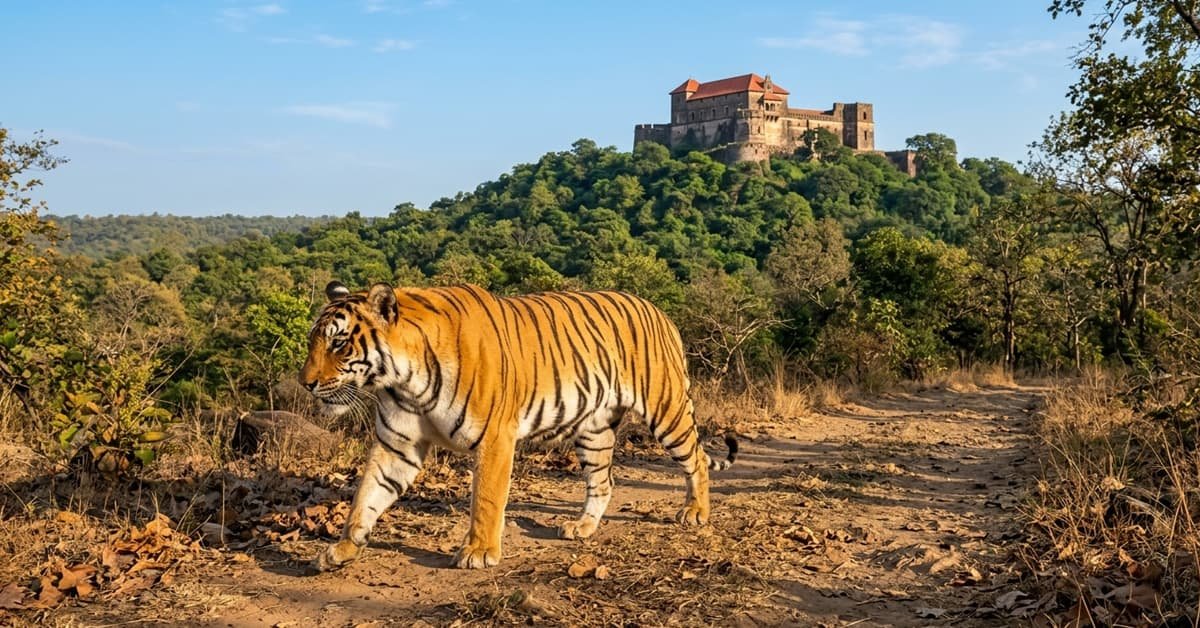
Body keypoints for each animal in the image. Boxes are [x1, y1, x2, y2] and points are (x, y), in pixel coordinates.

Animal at [300, 280, 737, 570]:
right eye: (312, 342)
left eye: (338, 342)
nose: (306, 383)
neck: (404, 379)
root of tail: (661, 313)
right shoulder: (397, 445)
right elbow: (366, 495)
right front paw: (342, 549)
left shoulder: (495, 437)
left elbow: (487, 499)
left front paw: (478, 552)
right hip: (594, 430)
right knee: (603, 481)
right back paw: (582, 527)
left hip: (666, 409)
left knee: (696, 459)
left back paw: (695, 513)